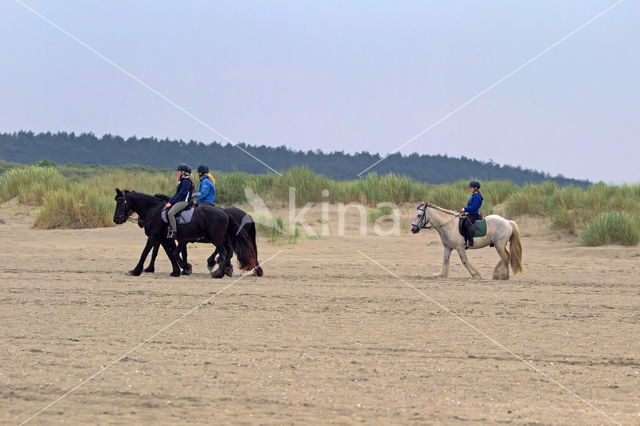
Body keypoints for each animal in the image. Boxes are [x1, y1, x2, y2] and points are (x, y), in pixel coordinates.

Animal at [114, 189, 256, 276]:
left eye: (120, 202)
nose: (116, 219)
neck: (154, 211)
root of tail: (225, 212)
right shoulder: (165, 238)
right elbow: (171, 253)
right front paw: (177, 270)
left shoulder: (154, 237)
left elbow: (146, 252)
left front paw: (136, 270)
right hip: (222, 239)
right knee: (227, 253)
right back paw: (225, 269)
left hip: (217, 239)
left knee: (224, 253)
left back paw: (218, 272)